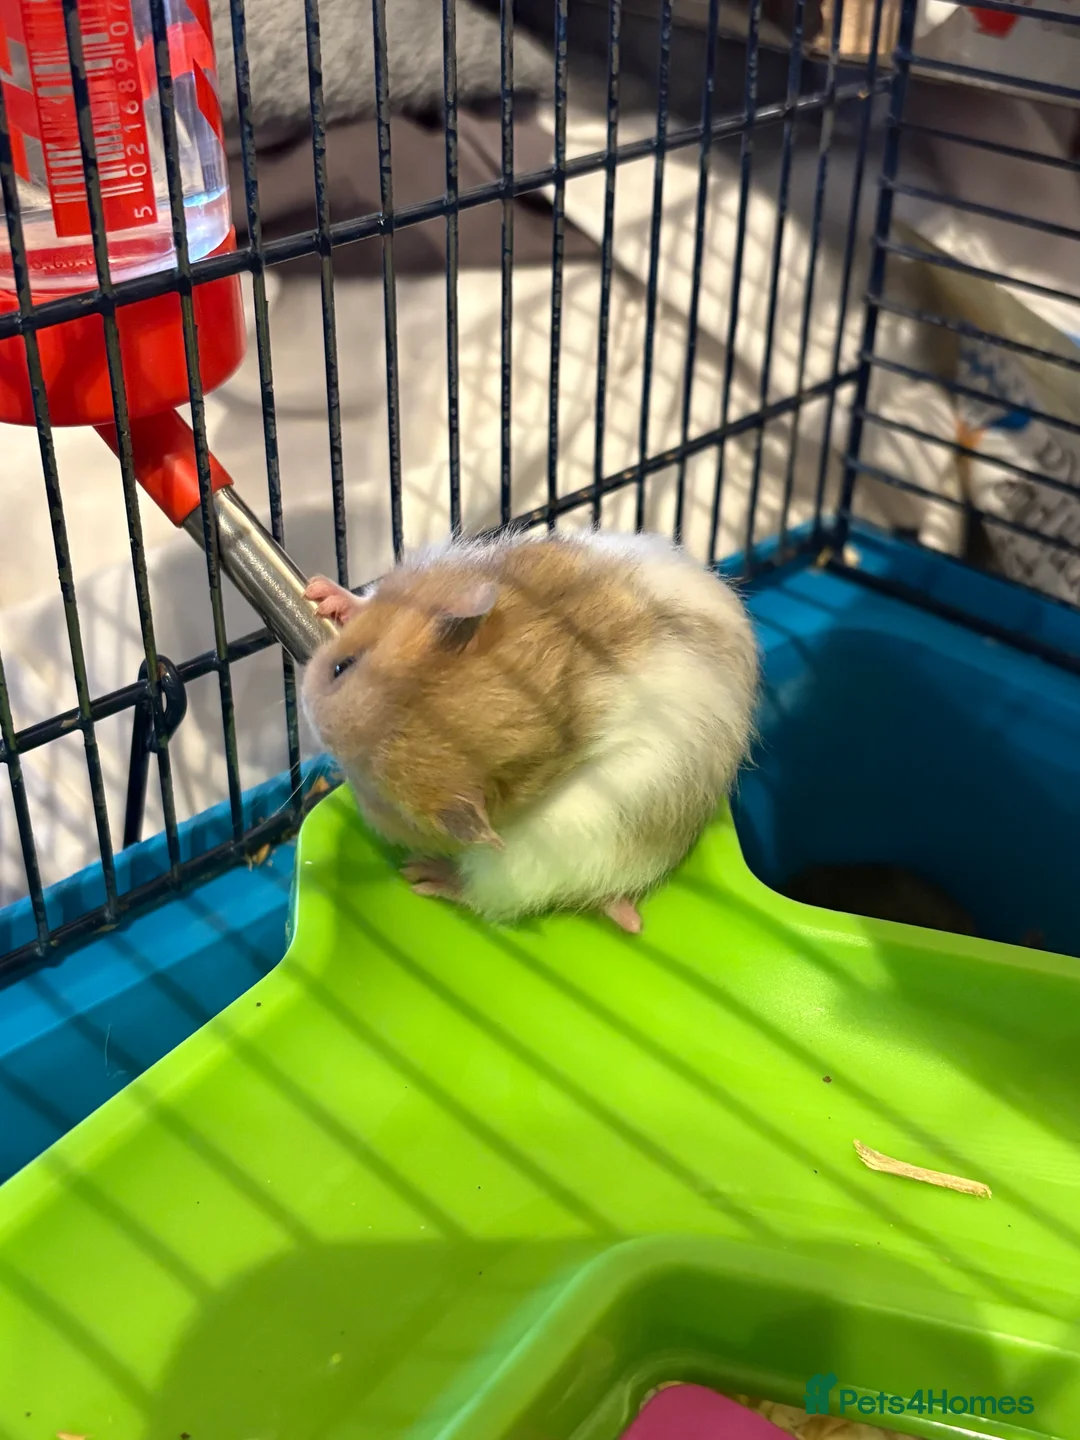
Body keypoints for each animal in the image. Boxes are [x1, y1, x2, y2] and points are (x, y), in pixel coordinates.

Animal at [300, 530, 759, 933]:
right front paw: (320, 593)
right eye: (346, 663)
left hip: (533, 865)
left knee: (483, 893)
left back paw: (423, 875)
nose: (304, 704)